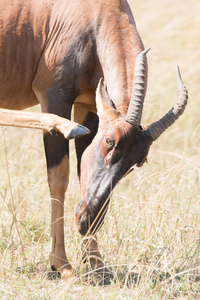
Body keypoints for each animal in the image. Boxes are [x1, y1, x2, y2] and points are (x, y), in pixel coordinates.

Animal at [0, 1, 188, 280]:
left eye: (139, 162)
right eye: (110, 141)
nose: (83, 221)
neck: (90, 14)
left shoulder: (87, 106)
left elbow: (82, 172)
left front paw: (98, 265)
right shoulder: (55, 97)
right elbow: (59, 178)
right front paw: (62, 264)